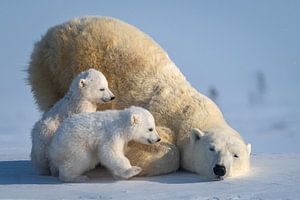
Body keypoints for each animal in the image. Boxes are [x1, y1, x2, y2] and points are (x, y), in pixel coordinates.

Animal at [27, 16, 251, 178]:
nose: (220, 169)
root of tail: (49, 34)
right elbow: (164, 150)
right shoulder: (161, 116)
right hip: (54, 69)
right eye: (211, 149)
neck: (190, 110)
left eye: (236, 155)